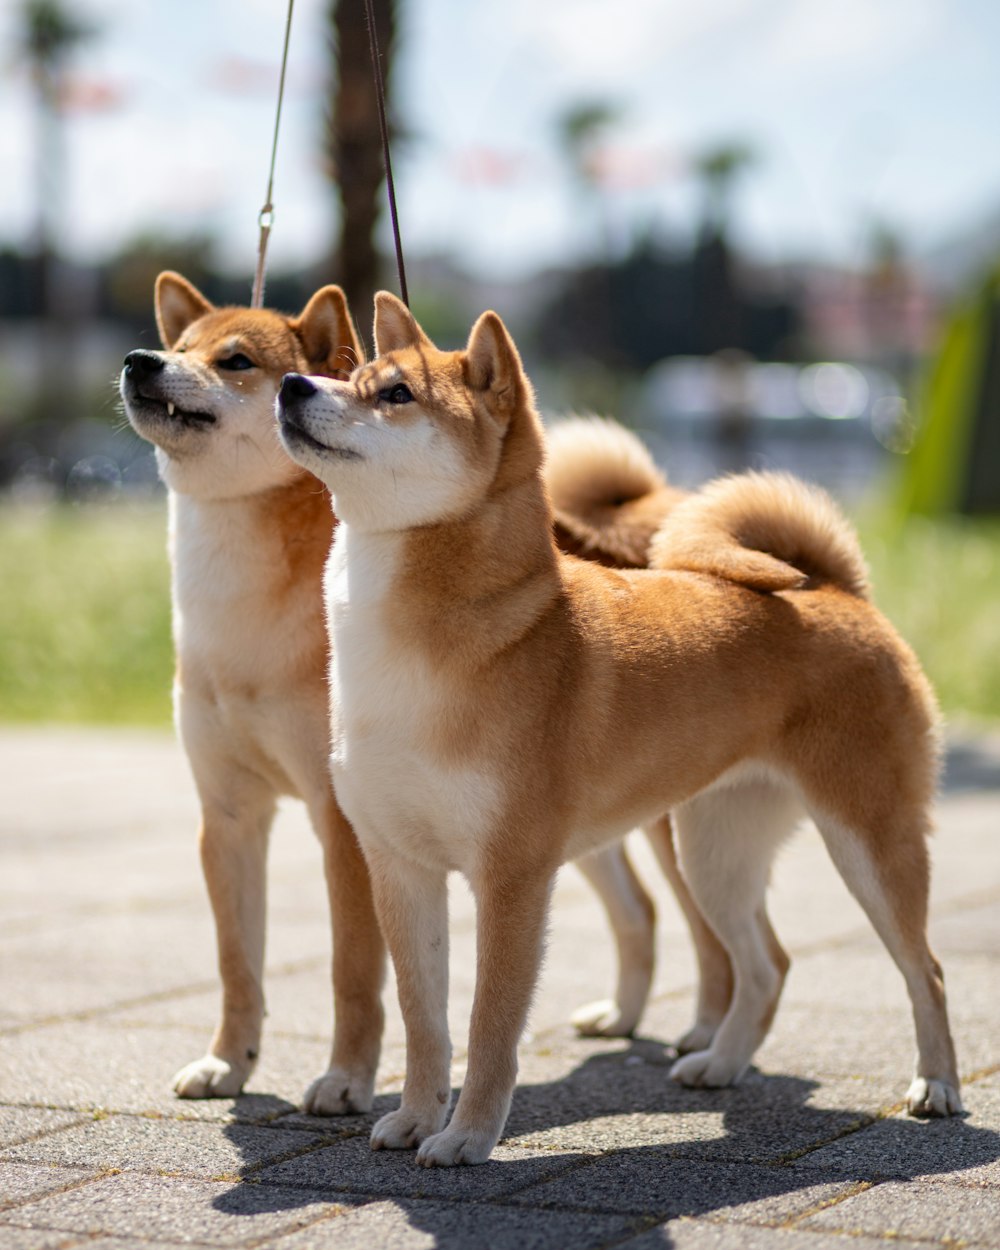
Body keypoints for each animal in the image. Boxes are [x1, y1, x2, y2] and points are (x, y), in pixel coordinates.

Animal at [116, 276, 382, 1115]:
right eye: (178, 345)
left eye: (233, 361)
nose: (139, 360)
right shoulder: (228, 815)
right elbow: (237, 964)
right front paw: (228, 1063)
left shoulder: (343, 823)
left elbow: (353, 969)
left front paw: (346, 1078)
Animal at [275, 297, 960, 1165]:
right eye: (349, 373)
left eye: (395, 393)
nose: (293, 385)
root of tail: (841, 592)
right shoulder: (401, 867)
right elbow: (424, 1019)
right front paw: (415, 1119)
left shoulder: (512, 878)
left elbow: (488, 1024)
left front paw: (468, 1137)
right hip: (713, 850)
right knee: (768, 964)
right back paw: (721, 1063)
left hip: (867, 842)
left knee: (924, 969)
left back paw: (936, 1085)